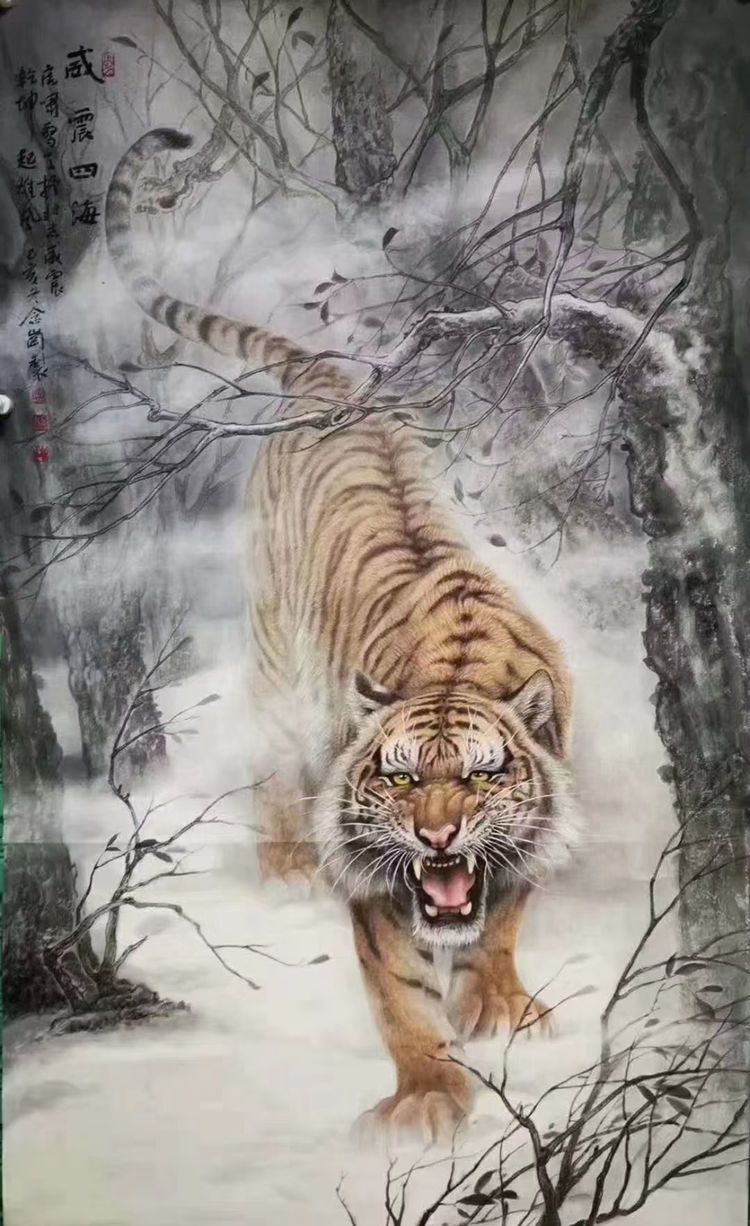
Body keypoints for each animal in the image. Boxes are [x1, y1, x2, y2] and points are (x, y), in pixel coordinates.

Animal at [106, 128, 577, 1144]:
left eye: (483, 776)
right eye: (398, 779)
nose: (437, 837)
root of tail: (326, 377)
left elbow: (503, 922)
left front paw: (499, 1006)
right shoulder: (374, 864)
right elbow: (397, 987)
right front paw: (428, 1101)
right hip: (278, 654)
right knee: (271, 752)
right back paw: (285, 863)